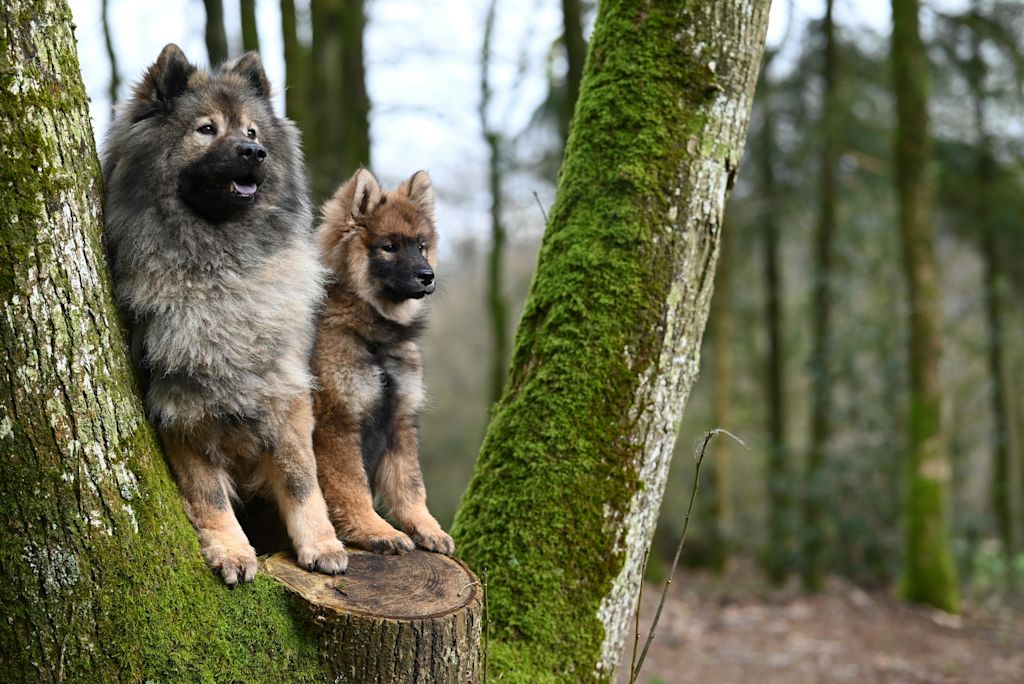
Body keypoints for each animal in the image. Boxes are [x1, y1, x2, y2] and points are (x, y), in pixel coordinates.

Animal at [102, 44, 347, 584]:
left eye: (252, 132)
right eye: (206, 129)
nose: (253, 153)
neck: (222, 273)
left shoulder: (283, 391)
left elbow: (301, 479)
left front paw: (322, 544)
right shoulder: (179, 405)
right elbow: (208, 493)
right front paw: (231, 551)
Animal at [313, 169, 454, 556]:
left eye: (420, 245)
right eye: (388, 247)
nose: (427, 276)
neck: (375, 339)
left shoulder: (400, 421)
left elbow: (411, 485)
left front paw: (427, 528)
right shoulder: (338, 423)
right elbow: (353, 487)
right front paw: (374, 530)